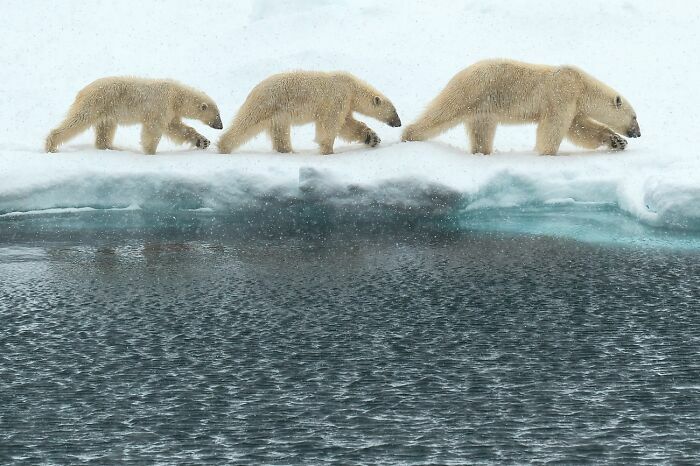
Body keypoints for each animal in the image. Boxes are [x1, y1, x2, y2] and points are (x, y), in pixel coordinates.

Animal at [45, 77, 223, 155]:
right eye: (217, 115)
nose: (221, 126)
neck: (176, 95)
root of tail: (82, 91)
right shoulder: (160, 106)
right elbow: (154, 129)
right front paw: (150, 152)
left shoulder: (170, 111)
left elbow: (176, 128)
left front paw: (203, 141)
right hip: (96, 103)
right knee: (78, 120)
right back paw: (51, 145)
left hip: (107, 110)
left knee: (106, 128)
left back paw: (112, 147)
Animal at [217, 71, 402, 155]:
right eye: (394, 111)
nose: (399, 123)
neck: (352, 87)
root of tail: (253, 91)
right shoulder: (337, 98)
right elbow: (330, 125)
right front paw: (327, 150)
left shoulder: (345, 103)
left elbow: (347, 125)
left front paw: (373, 138)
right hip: (267, 104)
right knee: (246, 123)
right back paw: (223, 146)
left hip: (278, 115)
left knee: (280, 132)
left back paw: (288, 151)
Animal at [402, 59, 641, 155]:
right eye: (635, 117)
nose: (638, 133)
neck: (581, 84)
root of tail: (459, 74)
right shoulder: (561, 93)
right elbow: (554, 127)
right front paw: (547, 153)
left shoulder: (573, 103)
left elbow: (579, 127)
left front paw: (617, 141)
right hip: (472, 91)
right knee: (441, 113)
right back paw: (409, 135)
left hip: (483, 109)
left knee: (481, 132)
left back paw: (482, 152)